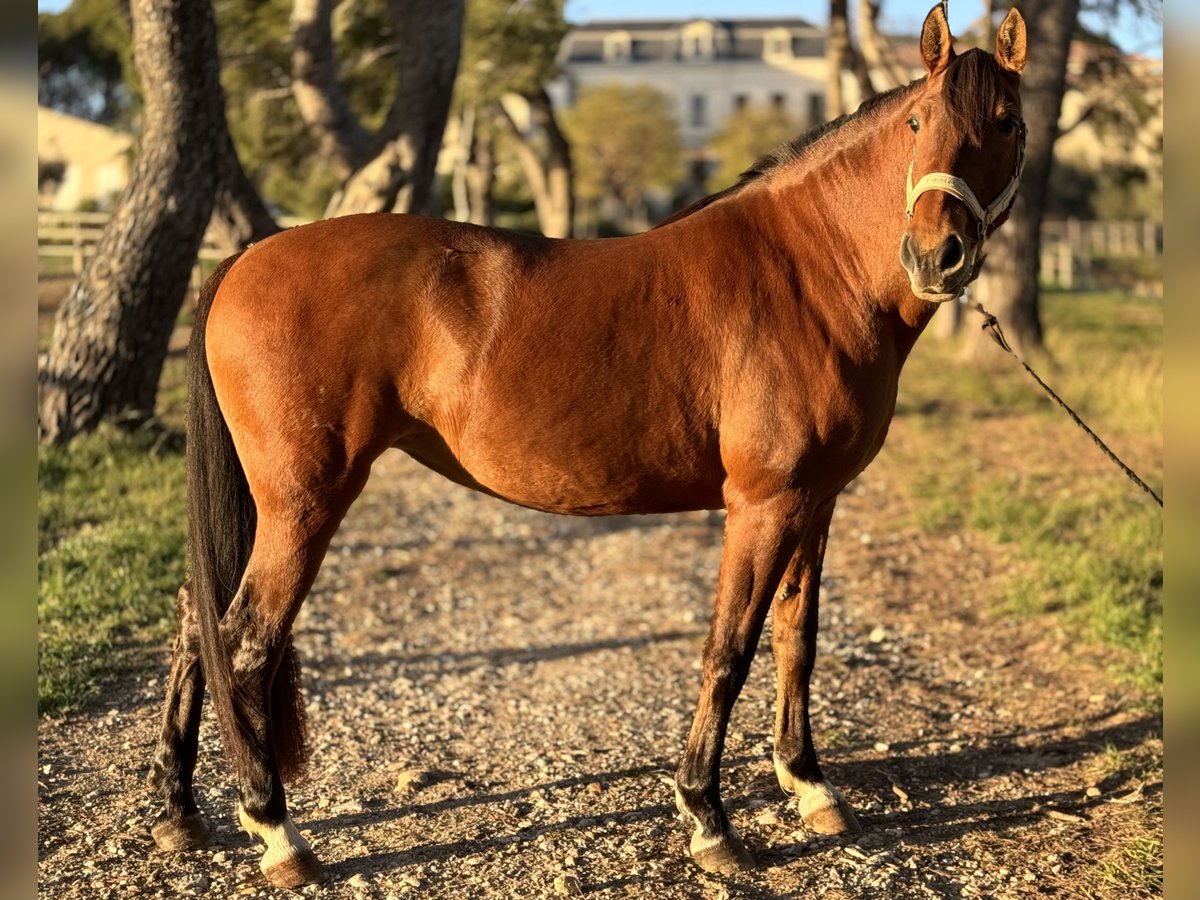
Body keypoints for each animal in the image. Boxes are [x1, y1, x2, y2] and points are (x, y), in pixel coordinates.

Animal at [147, 8, 1032, 888]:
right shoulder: (763, 504)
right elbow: (729, 649)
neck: (810, 273)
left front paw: (809, 784)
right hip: (303, 503)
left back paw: (180, 812)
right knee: (245, 643)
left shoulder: (815, 502)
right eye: (918, 122)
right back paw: (276, 831)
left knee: (196, 622)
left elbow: (797, 639)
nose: (937, 256)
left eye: (1007, 123)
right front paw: (708, 819)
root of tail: (246, 258)